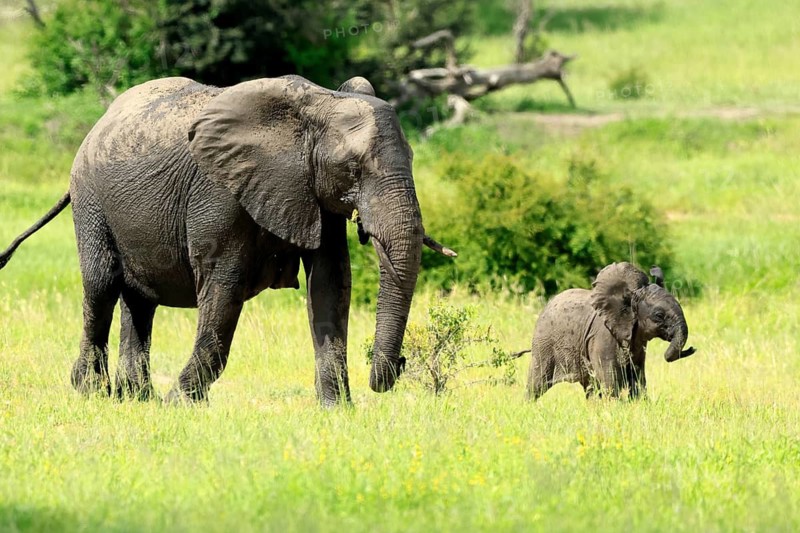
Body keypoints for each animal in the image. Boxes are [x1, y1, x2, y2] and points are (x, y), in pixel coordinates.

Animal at [0, 75, 456, 406]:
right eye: (353, 168)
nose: (396, 366)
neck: (316, 106)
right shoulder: (220, 190)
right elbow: (224, 285)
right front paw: (181, 405)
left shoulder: (313, 194)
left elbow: (330, 284)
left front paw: (336, 411)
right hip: (91, 199)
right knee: (101, 286)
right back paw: (94, 393)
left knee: (140, 301)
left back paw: (137, 399)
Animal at [523, 262, 696, 400]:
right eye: (659, 315)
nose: (692, 349)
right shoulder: (603, 336)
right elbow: (610, 379)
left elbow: (637, 377)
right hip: (544, 344)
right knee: (536, 385)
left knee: (590, 387)